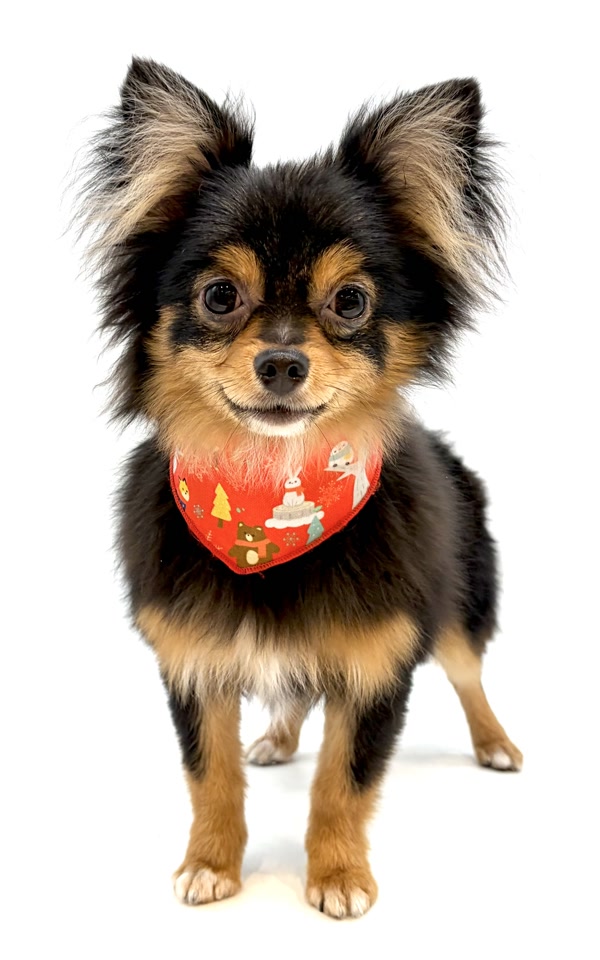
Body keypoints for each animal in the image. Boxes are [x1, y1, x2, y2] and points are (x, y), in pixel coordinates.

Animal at [78, 57, 522, 919]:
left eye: (350, 302)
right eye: (220, 296)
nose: (281, 361)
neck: (266, 499)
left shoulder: (379, 662)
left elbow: (343, 781)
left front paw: (340, 874)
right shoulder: (195, 660)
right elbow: (211, 775)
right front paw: (211, 862)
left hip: (457, 604)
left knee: (469, 673)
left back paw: (495, 743)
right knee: (296, 696)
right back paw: (278, 739)